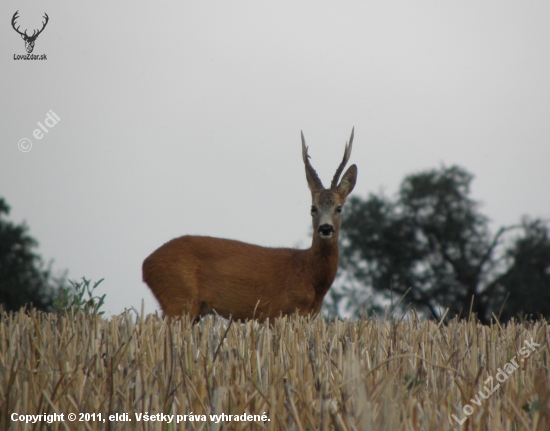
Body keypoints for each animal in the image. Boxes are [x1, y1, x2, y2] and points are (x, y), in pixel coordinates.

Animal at [142, 130, 358, 322]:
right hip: (179, 299)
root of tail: (146, 265)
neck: (310, 277)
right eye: (313, 207)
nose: (325, 228)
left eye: (339, 208)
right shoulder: (276, 313)